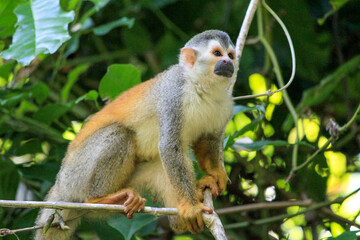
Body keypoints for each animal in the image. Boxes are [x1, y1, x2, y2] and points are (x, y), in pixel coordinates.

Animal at [35, 30, 235, 240]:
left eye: (230, 55)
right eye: (217, 53)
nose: (228, 62)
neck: (202, 86)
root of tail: (60, 184)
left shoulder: (226, 103)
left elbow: (208, 140)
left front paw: (215, 174)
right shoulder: (173, 95)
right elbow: (170, 146)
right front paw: (190, 206)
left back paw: (178, 220)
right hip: (76, 175)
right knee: (119, 134)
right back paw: (99, 198)